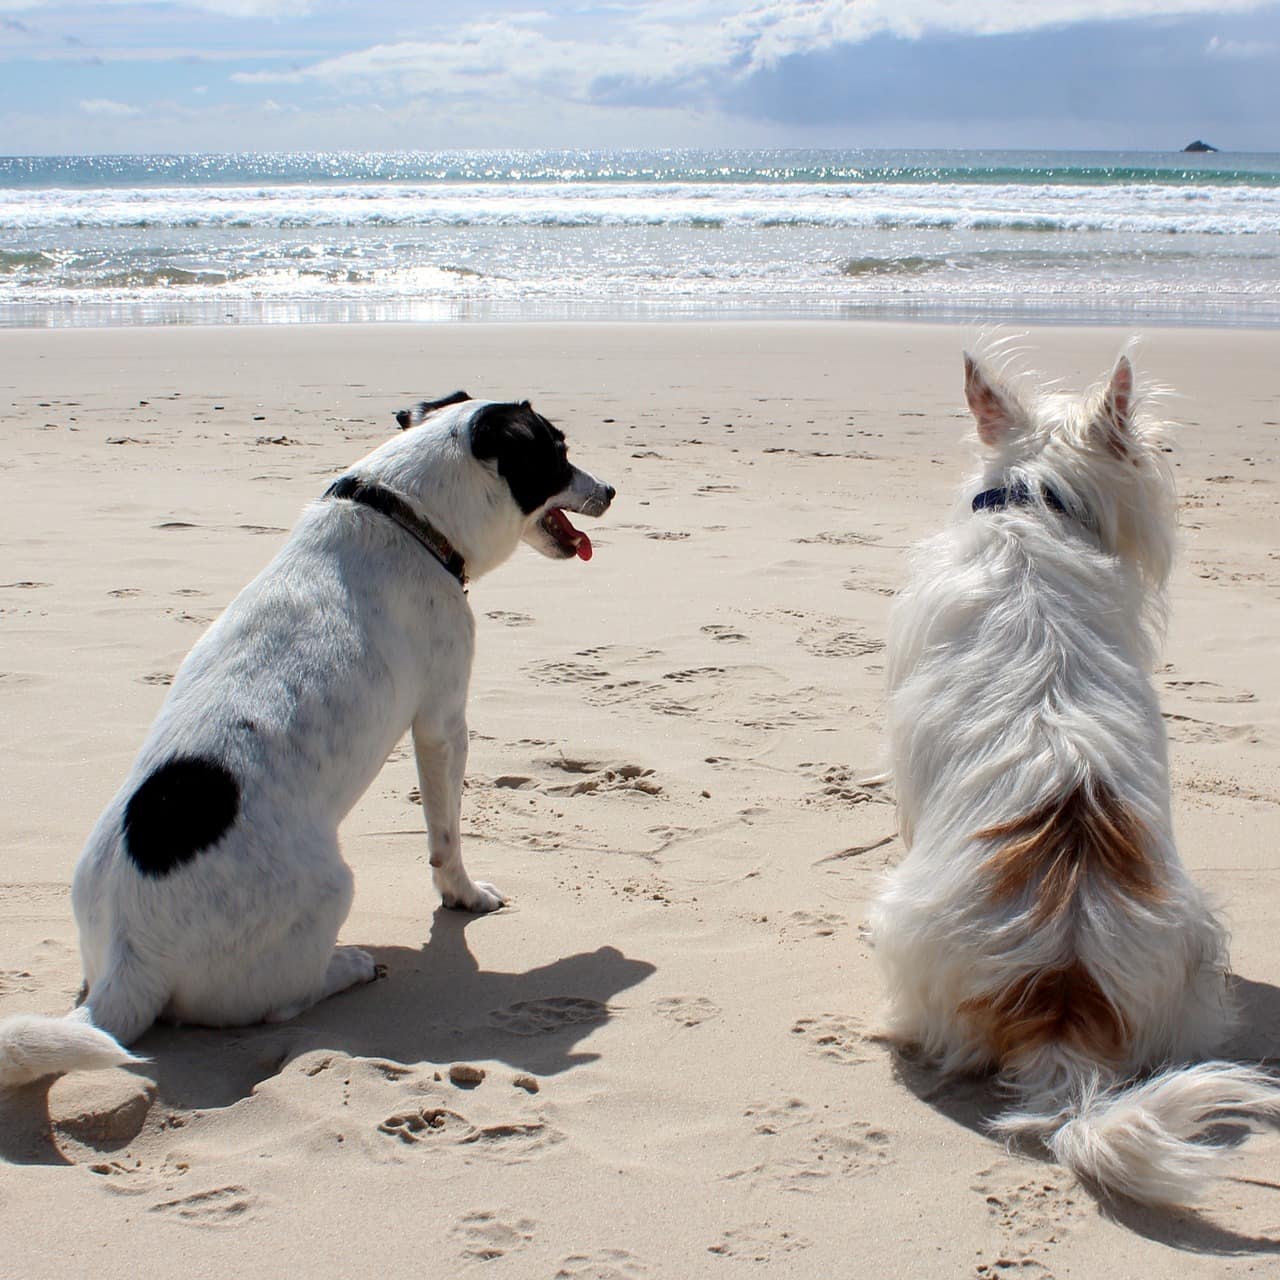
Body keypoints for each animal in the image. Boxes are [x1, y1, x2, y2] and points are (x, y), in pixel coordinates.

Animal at [0, 391, 614, 1090]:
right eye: (558, 452)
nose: (612, 491)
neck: (406, 513)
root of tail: (133, 957)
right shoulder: (441, 722)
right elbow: (446, 837)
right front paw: (463, 895)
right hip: (330, 890)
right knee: (280, 1002)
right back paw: (348, 966)